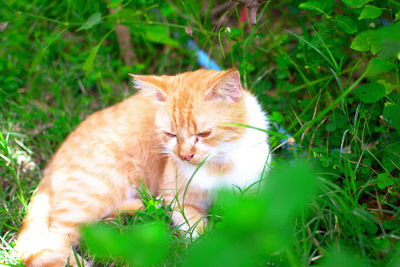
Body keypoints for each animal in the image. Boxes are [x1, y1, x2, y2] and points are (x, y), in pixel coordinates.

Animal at [16, 68, 272, 266]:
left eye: (204, 133)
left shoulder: (257, 194)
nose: (185, 155)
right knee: (51, 239)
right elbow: (198, 232)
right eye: (170, 134)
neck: (219, 165)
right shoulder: (180, 200)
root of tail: (52, 163)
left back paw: (147, 207)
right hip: (95, 191)